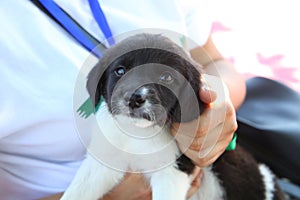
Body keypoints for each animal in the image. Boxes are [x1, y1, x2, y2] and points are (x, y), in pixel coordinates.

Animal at [62, 33, 284, 199]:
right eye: (120, 70)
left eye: (166, 77)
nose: (134, 98)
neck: (137, 134)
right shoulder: (104, 161)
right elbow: (77, 191)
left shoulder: (173, 171)